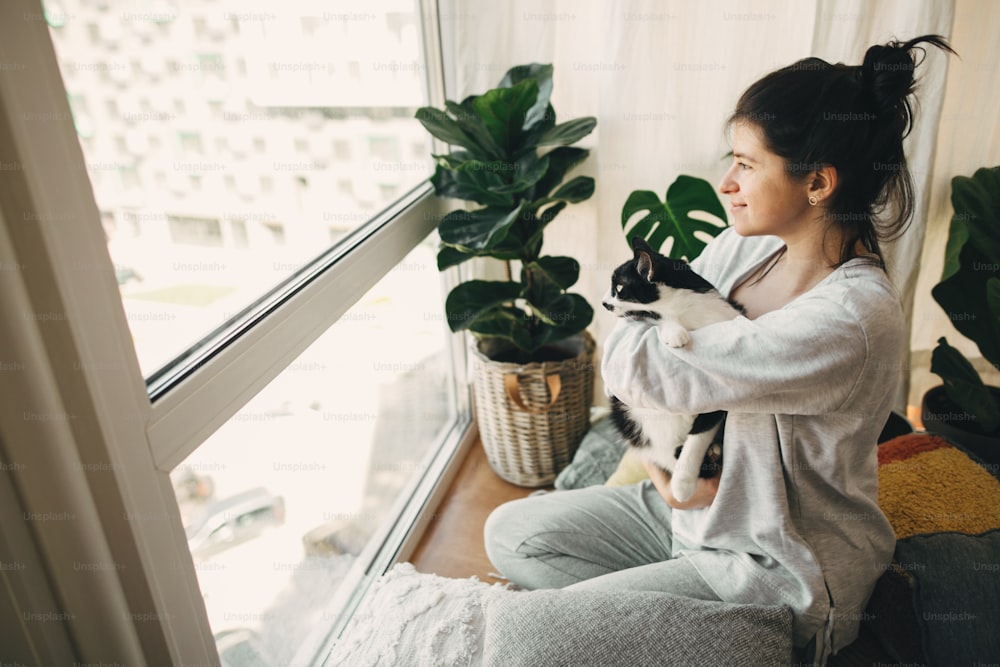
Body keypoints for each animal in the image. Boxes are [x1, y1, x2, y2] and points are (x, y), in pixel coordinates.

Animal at [600, 239, 744, 500]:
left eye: (619, 288)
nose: (603, 303)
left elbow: (699, 436)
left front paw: (682, 484)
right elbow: (653, 319)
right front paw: (674, 332)